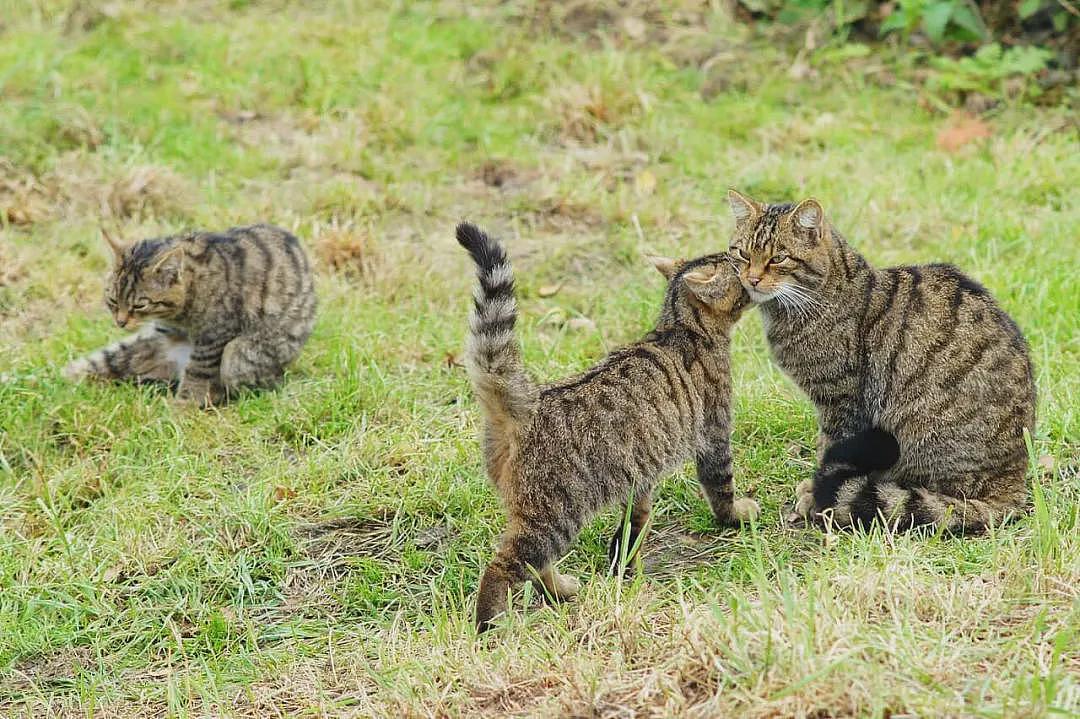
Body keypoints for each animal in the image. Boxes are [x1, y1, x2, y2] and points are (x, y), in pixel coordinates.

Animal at [65, 224, 315, 403]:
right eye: (113, 301)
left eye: (139, 306)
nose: (120, 322)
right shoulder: (163, 335)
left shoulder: (214, 338)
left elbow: (198, 375)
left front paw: (181, 410)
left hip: (240, 356)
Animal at [457, 221, 760, 630]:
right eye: (740, 262)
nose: (755, 270)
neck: (680, 327)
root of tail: (528, 402)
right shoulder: (714, 435)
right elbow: (720, 487)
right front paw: (736, 516)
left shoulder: (641, 467)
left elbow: (637, 518)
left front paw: (625, 563)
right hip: (554, 513)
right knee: (504, 566)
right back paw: (492, 624)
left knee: (535, 565)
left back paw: (561, 590)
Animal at [725, 190, 1036, 531]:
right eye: (742, 254)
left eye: (778, 258)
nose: (752, 279)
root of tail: (1013, 484)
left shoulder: (841, 400)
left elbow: (827, 447)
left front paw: (814, 496)